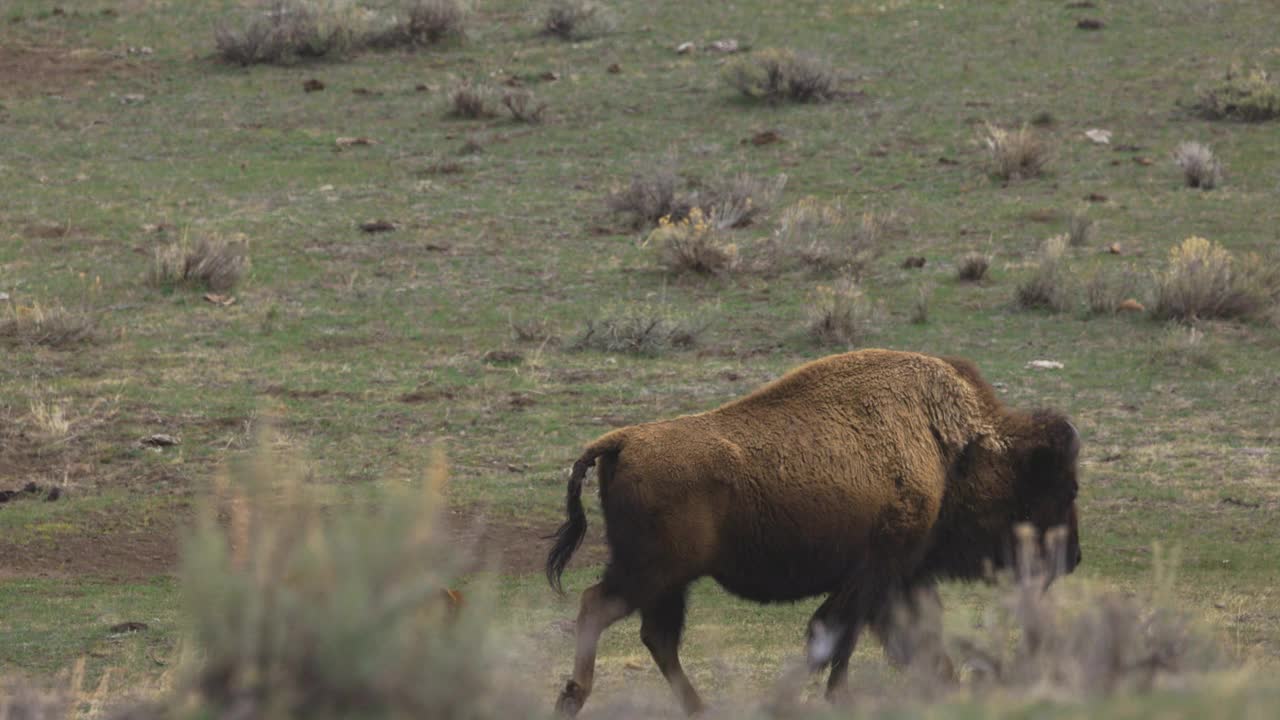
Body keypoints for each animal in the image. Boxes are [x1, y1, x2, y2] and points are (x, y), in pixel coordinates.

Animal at [540, 348, 1080, 712]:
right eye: (1064, 487)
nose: (1071, 558)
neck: (950, 447)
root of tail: (622, 441)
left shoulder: (896, 578)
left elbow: (900, 636)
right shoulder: (876, 571)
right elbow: (835, 637)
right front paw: (830, 697)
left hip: (669, 581)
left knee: (657, 636)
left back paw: (697, 708)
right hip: (651, 572)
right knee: (598, 607)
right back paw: (573, 695)